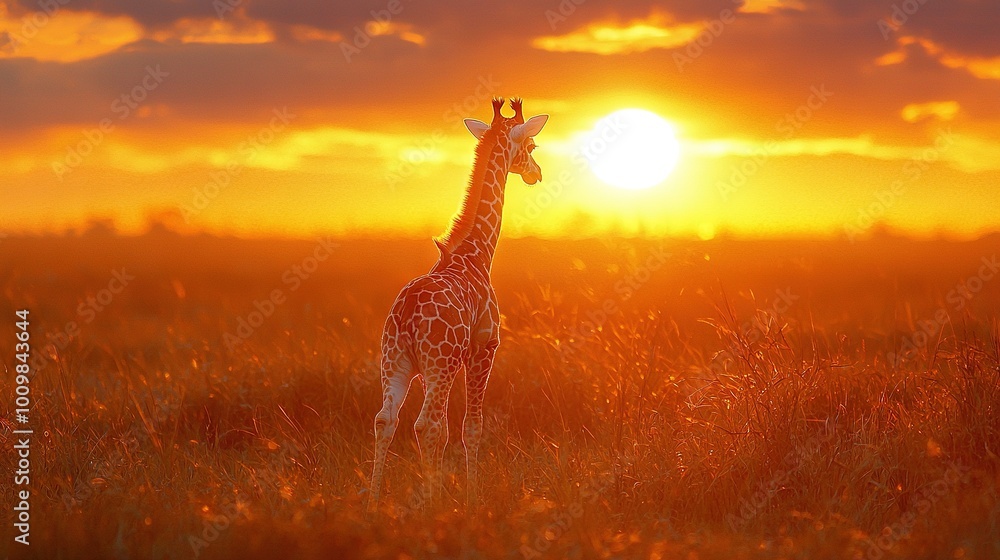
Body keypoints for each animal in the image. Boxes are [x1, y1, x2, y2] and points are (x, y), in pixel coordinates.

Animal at [368, 97, 548, 513]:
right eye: (530, 145)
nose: (537, 173)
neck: (477, 254)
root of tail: (406, 315)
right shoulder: (485, 347)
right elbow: (472, 426)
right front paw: (471, 500)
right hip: (440, 361)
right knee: (428, 424)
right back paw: (431, 507)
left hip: (395, 360)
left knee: (386, 419)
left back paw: (372, 503)